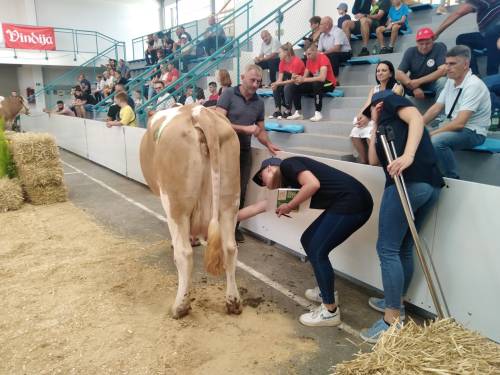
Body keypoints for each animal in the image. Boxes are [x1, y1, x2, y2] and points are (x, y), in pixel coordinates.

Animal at [140, 104, 243, 318]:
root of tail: (198, 112)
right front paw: (194, 239)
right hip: (230, 199)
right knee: (230, 248)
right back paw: (233, 302)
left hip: (175, 201)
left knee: (184, 254)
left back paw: (180, 306)